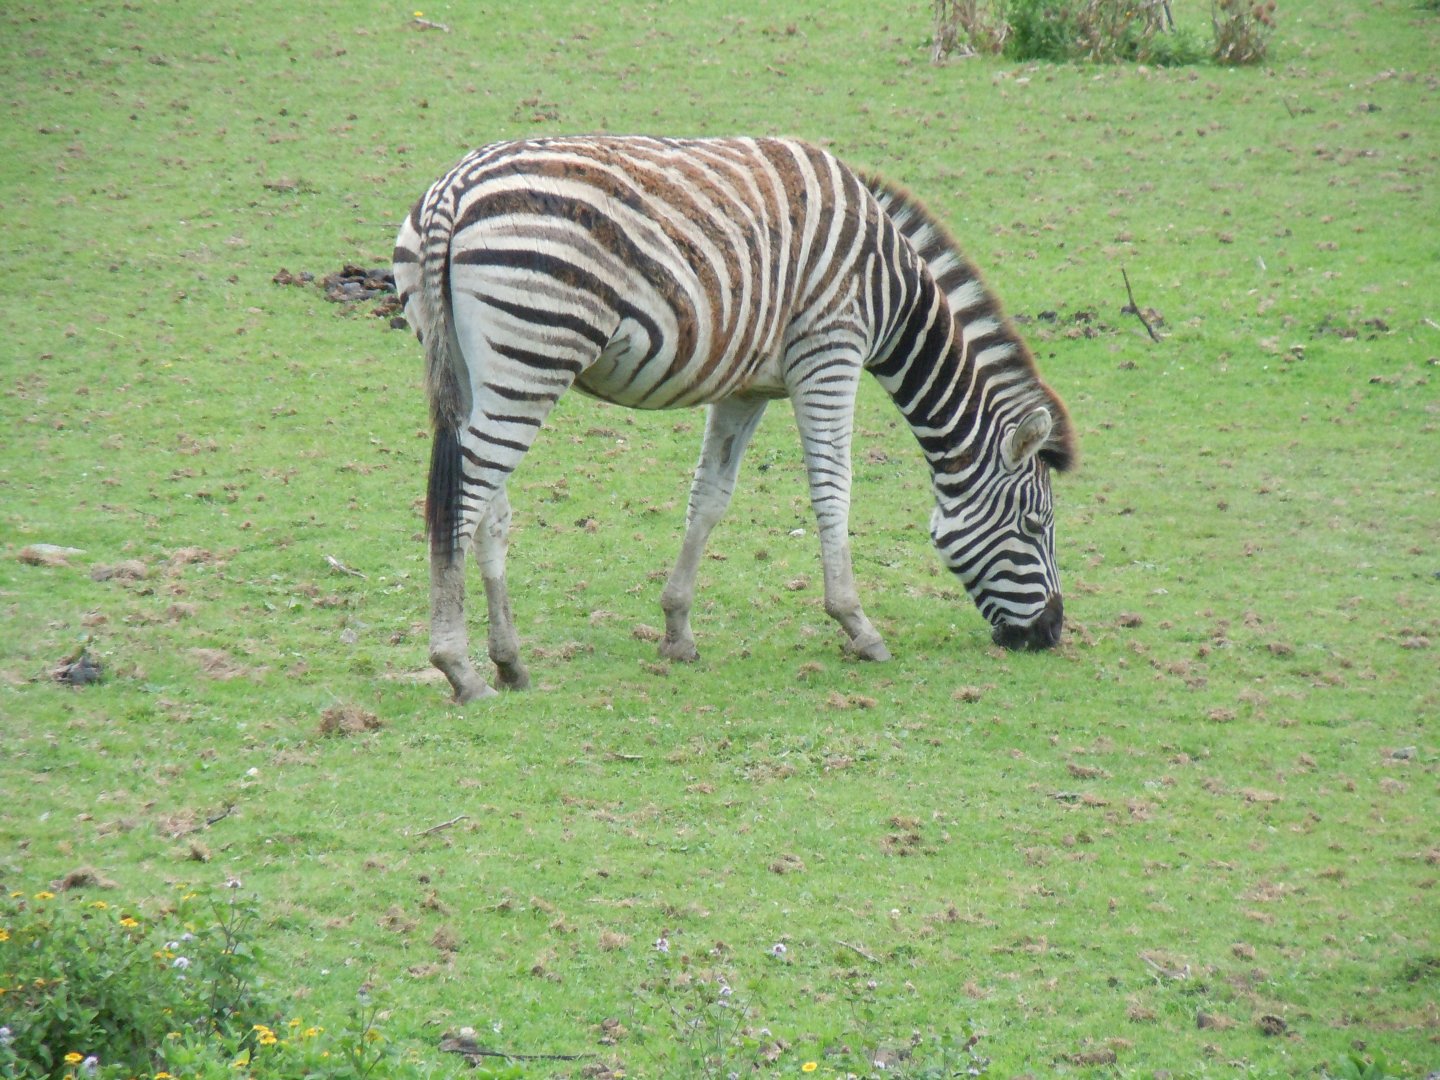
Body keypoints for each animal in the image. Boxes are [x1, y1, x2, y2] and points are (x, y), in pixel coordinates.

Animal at [392, 135, 1076, 702]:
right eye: (1034, 524)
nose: (1050, 633)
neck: (893, 287)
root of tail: (454, 188)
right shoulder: (830, 350)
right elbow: (833, 489)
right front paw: (857, 625)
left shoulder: (747, 386)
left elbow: (711, 496)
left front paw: (676, 630)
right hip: (534, 354)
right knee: (466, 498)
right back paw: (460, 669)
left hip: (476, 365)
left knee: (488, 505)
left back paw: (510, 663)